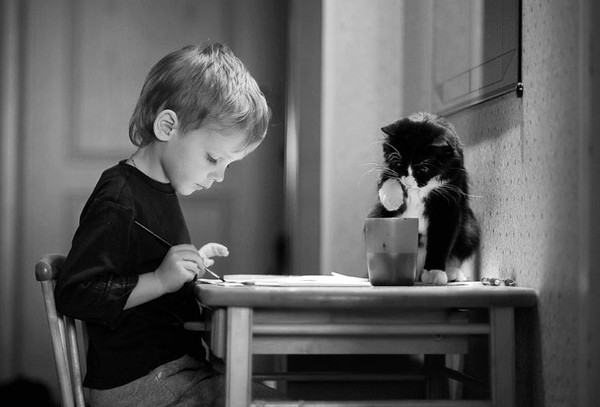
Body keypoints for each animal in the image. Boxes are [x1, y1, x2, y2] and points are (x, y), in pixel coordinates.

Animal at [368, 110, 480, 286]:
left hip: (470, 228)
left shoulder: (449, 197)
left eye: (424, 168)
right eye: (398, 163)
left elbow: (442, 237)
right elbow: (386, 174)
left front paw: (435, 273)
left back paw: (452, 273)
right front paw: (392, 199)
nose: (408, 182)